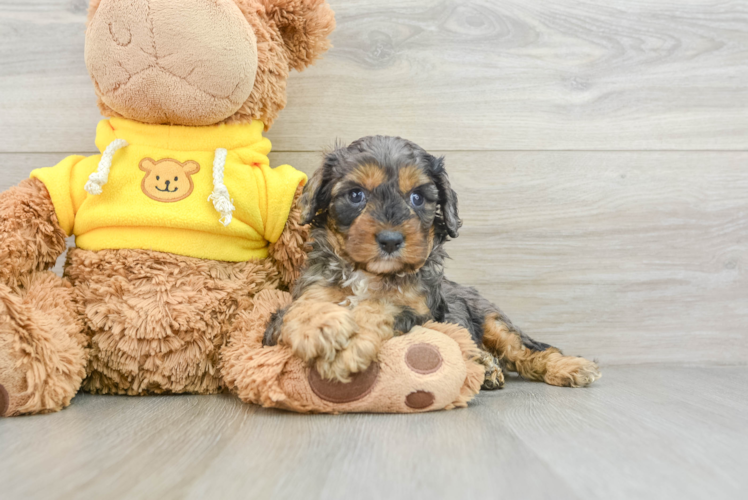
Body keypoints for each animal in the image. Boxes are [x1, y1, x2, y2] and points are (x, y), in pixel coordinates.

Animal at [262, 136, 600, 386]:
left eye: (417, 197)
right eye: (356, 195)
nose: (390, 240)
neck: (369, 275)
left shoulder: (422, 313)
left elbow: (381, 307)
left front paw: (352, 340)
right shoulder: (291, 310)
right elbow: (302, 309)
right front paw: (318, 327)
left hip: (491, 320)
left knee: (527, 350)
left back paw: (569, 366)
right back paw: (486, 367)